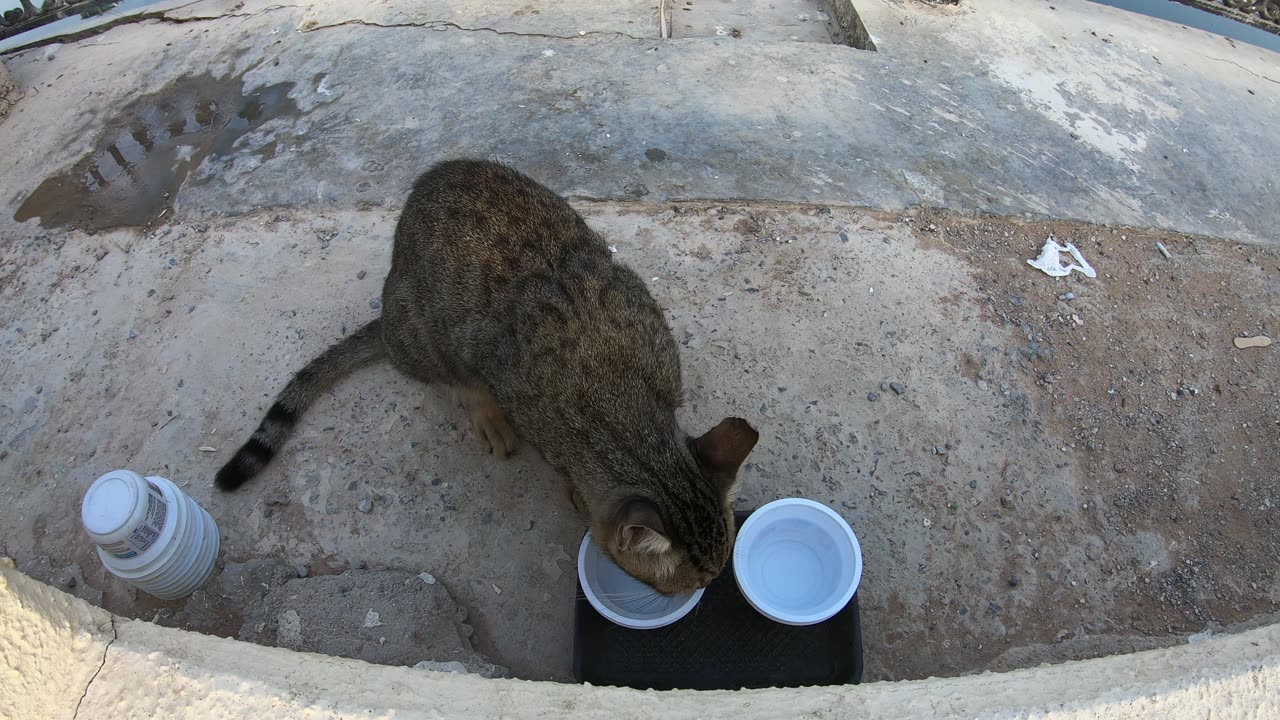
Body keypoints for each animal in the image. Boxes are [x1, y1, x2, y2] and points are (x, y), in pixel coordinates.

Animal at [217, 159, 757, 591]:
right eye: (693, 584)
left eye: (716, 576)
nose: (707, 589)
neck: (621, 401)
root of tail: (386, 313)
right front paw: (573, 489)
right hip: (424, 335)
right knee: (450, 373)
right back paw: (482, 408)